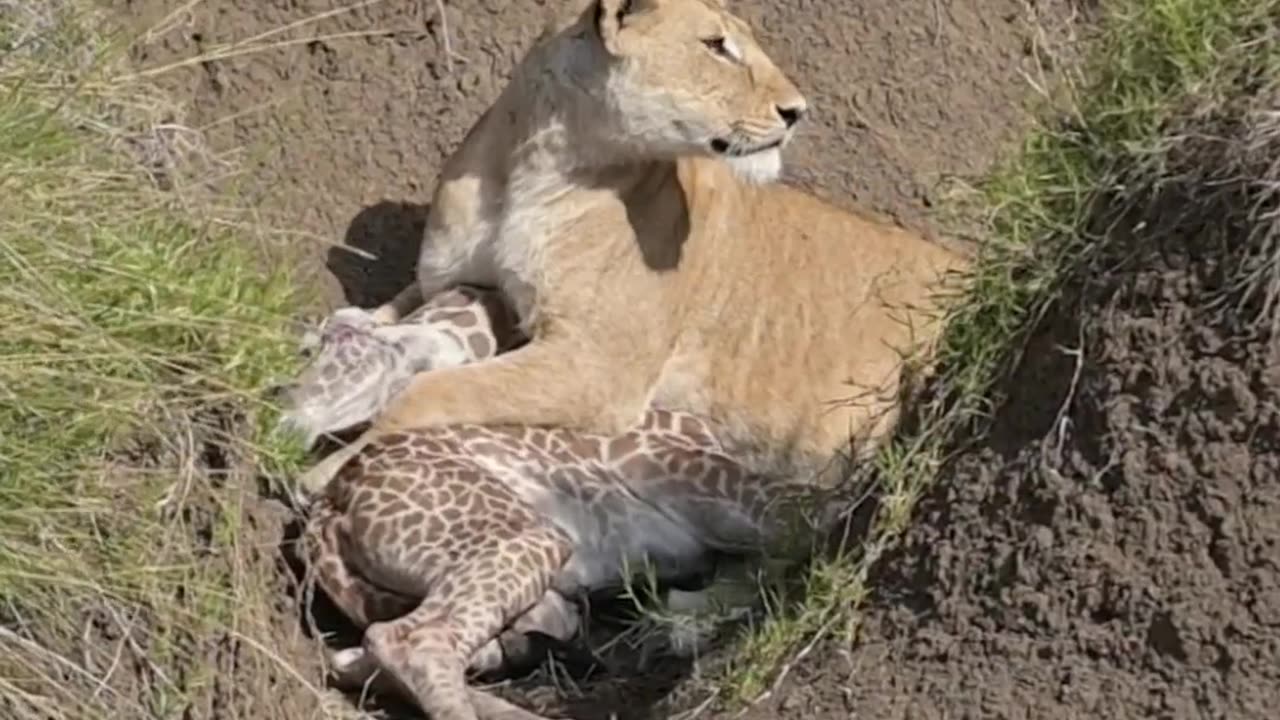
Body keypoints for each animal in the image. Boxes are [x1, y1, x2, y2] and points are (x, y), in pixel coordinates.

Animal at [294, 0, 970, 501]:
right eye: (716, 45)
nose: (798, 111)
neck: (535, 164)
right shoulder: (450, 279)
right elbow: (397, 306)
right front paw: (341, 328)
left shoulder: (599, 367)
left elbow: (431, 391)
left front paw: (328, 472)